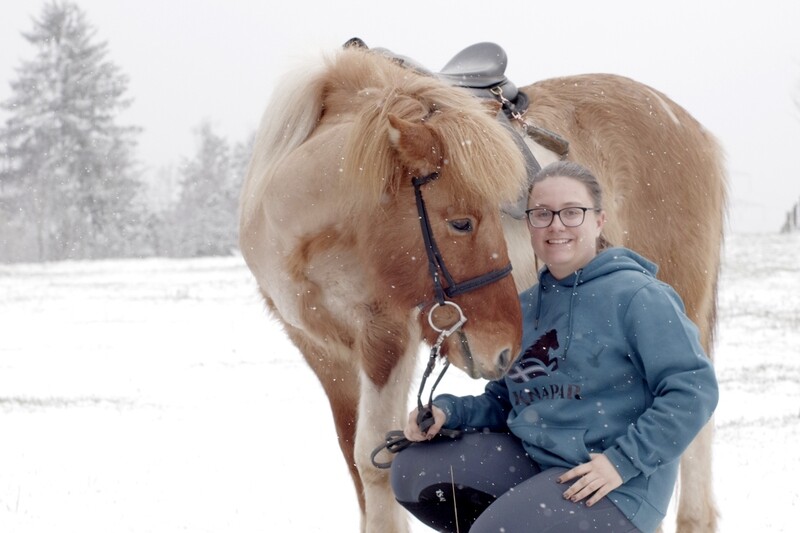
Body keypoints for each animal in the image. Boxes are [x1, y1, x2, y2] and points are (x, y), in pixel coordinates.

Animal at [239, 41, 724, 532]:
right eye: (461, 222)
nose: (505, 348)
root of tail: (689, 125)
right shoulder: (322, 352)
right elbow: (354, 458)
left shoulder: (385, 336)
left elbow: (374, 463)